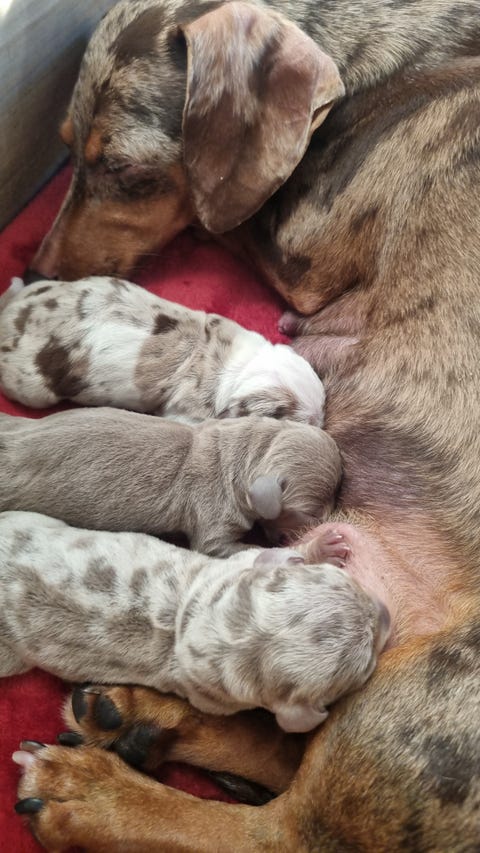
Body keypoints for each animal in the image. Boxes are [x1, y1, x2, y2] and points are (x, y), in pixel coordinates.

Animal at [0, 276, 325, 424]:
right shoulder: (186, 415)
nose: (324, 425)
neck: (242, 367)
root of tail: (9, 317)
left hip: (41, 287)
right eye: (307, 424)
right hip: (29, 388)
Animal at [1, 511, 390, 733]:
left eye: (353, 584)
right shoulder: (213, 699)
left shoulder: (238, 567)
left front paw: (323, 547)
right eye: (367, 664)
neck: (186, 624)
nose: (386, 613)